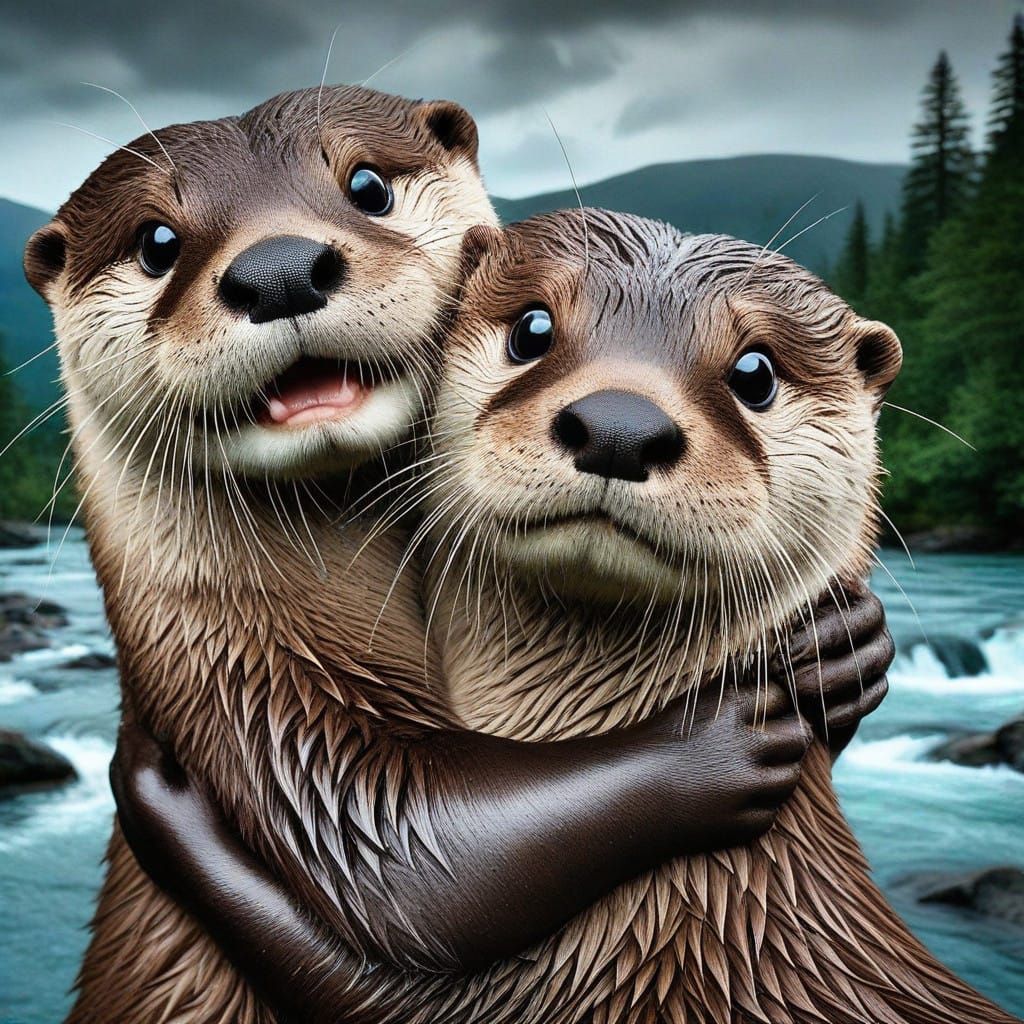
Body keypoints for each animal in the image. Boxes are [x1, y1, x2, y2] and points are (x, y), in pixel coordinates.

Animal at [21, 90, 876, 1023]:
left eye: (366, 185)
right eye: (156, 242)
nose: (279, 270)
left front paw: (837, 656)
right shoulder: (251, 700)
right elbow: (416, 857)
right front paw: (720, 735)